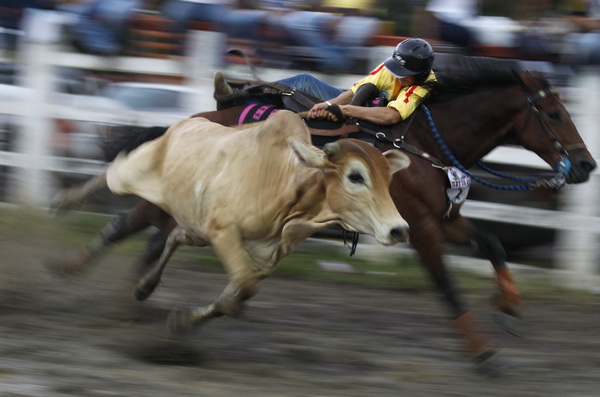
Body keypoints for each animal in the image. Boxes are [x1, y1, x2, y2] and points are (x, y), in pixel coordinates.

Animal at [56, 110, 410, 332]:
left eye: (388, 178)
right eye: (356, 176)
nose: (399, 229)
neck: (285, 184)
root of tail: (182, 124)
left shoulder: (265, 255)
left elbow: (238, 294)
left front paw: (183, 321)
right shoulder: (223, 232)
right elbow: (241, 290)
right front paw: (183, 321)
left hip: (193, 222)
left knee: (171, 238)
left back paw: (144, 286)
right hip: (141, 170)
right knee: (111, 173)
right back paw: (66, 203)